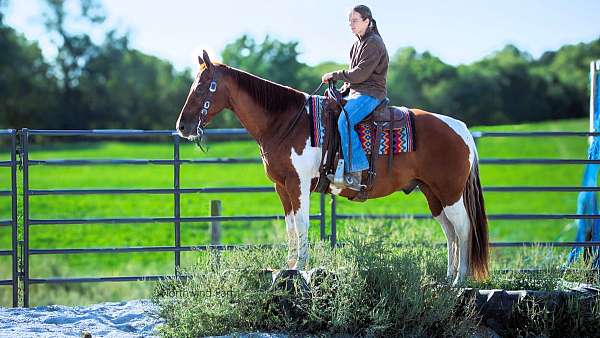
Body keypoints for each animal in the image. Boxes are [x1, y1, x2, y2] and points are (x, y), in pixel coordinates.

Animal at [177, 51, 488, 286]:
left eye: (202, 86)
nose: (182, 126)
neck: (285, 122)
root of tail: (461, 129)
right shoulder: (281, 186)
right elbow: (290, 226)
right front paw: (287, 266)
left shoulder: (298, 182)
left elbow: (302, 224)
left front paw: (299, 269)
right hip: (433, 194)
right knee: (450, 232)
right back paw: (448, 279)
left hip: (450, 193)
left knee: (463, 228)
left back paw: (460, 281)